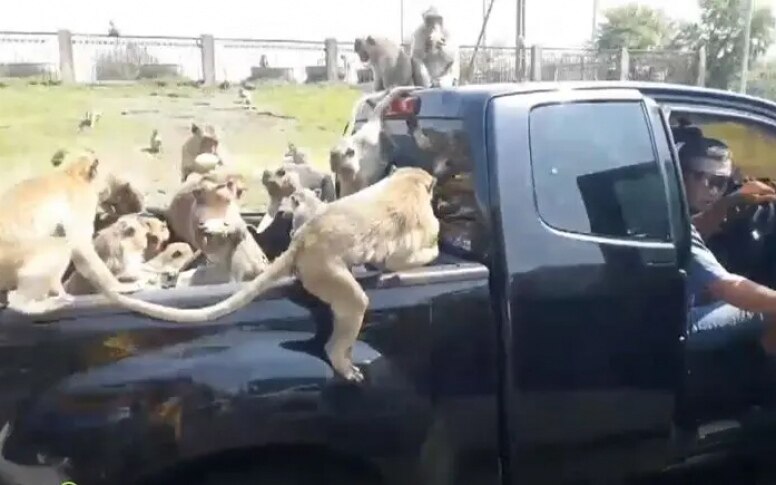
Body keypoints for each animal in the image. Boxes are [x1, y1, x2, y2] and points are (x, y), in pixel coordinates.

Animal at [0, 150, 142, 314]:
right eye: (123, 188)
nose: (137, 206)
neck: (72, 174)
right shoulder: (83, 201)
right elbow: (80, 244)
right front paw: (118, 287)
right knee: (60, 246)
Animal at [96, 164, 440, 384]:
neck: (407, 183)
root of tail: (304, 241)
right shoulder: (423, 221)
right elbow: (402, 258)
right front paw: (432, 252)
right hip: (323, 270)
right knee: (355, 302)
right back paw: (340, 359)